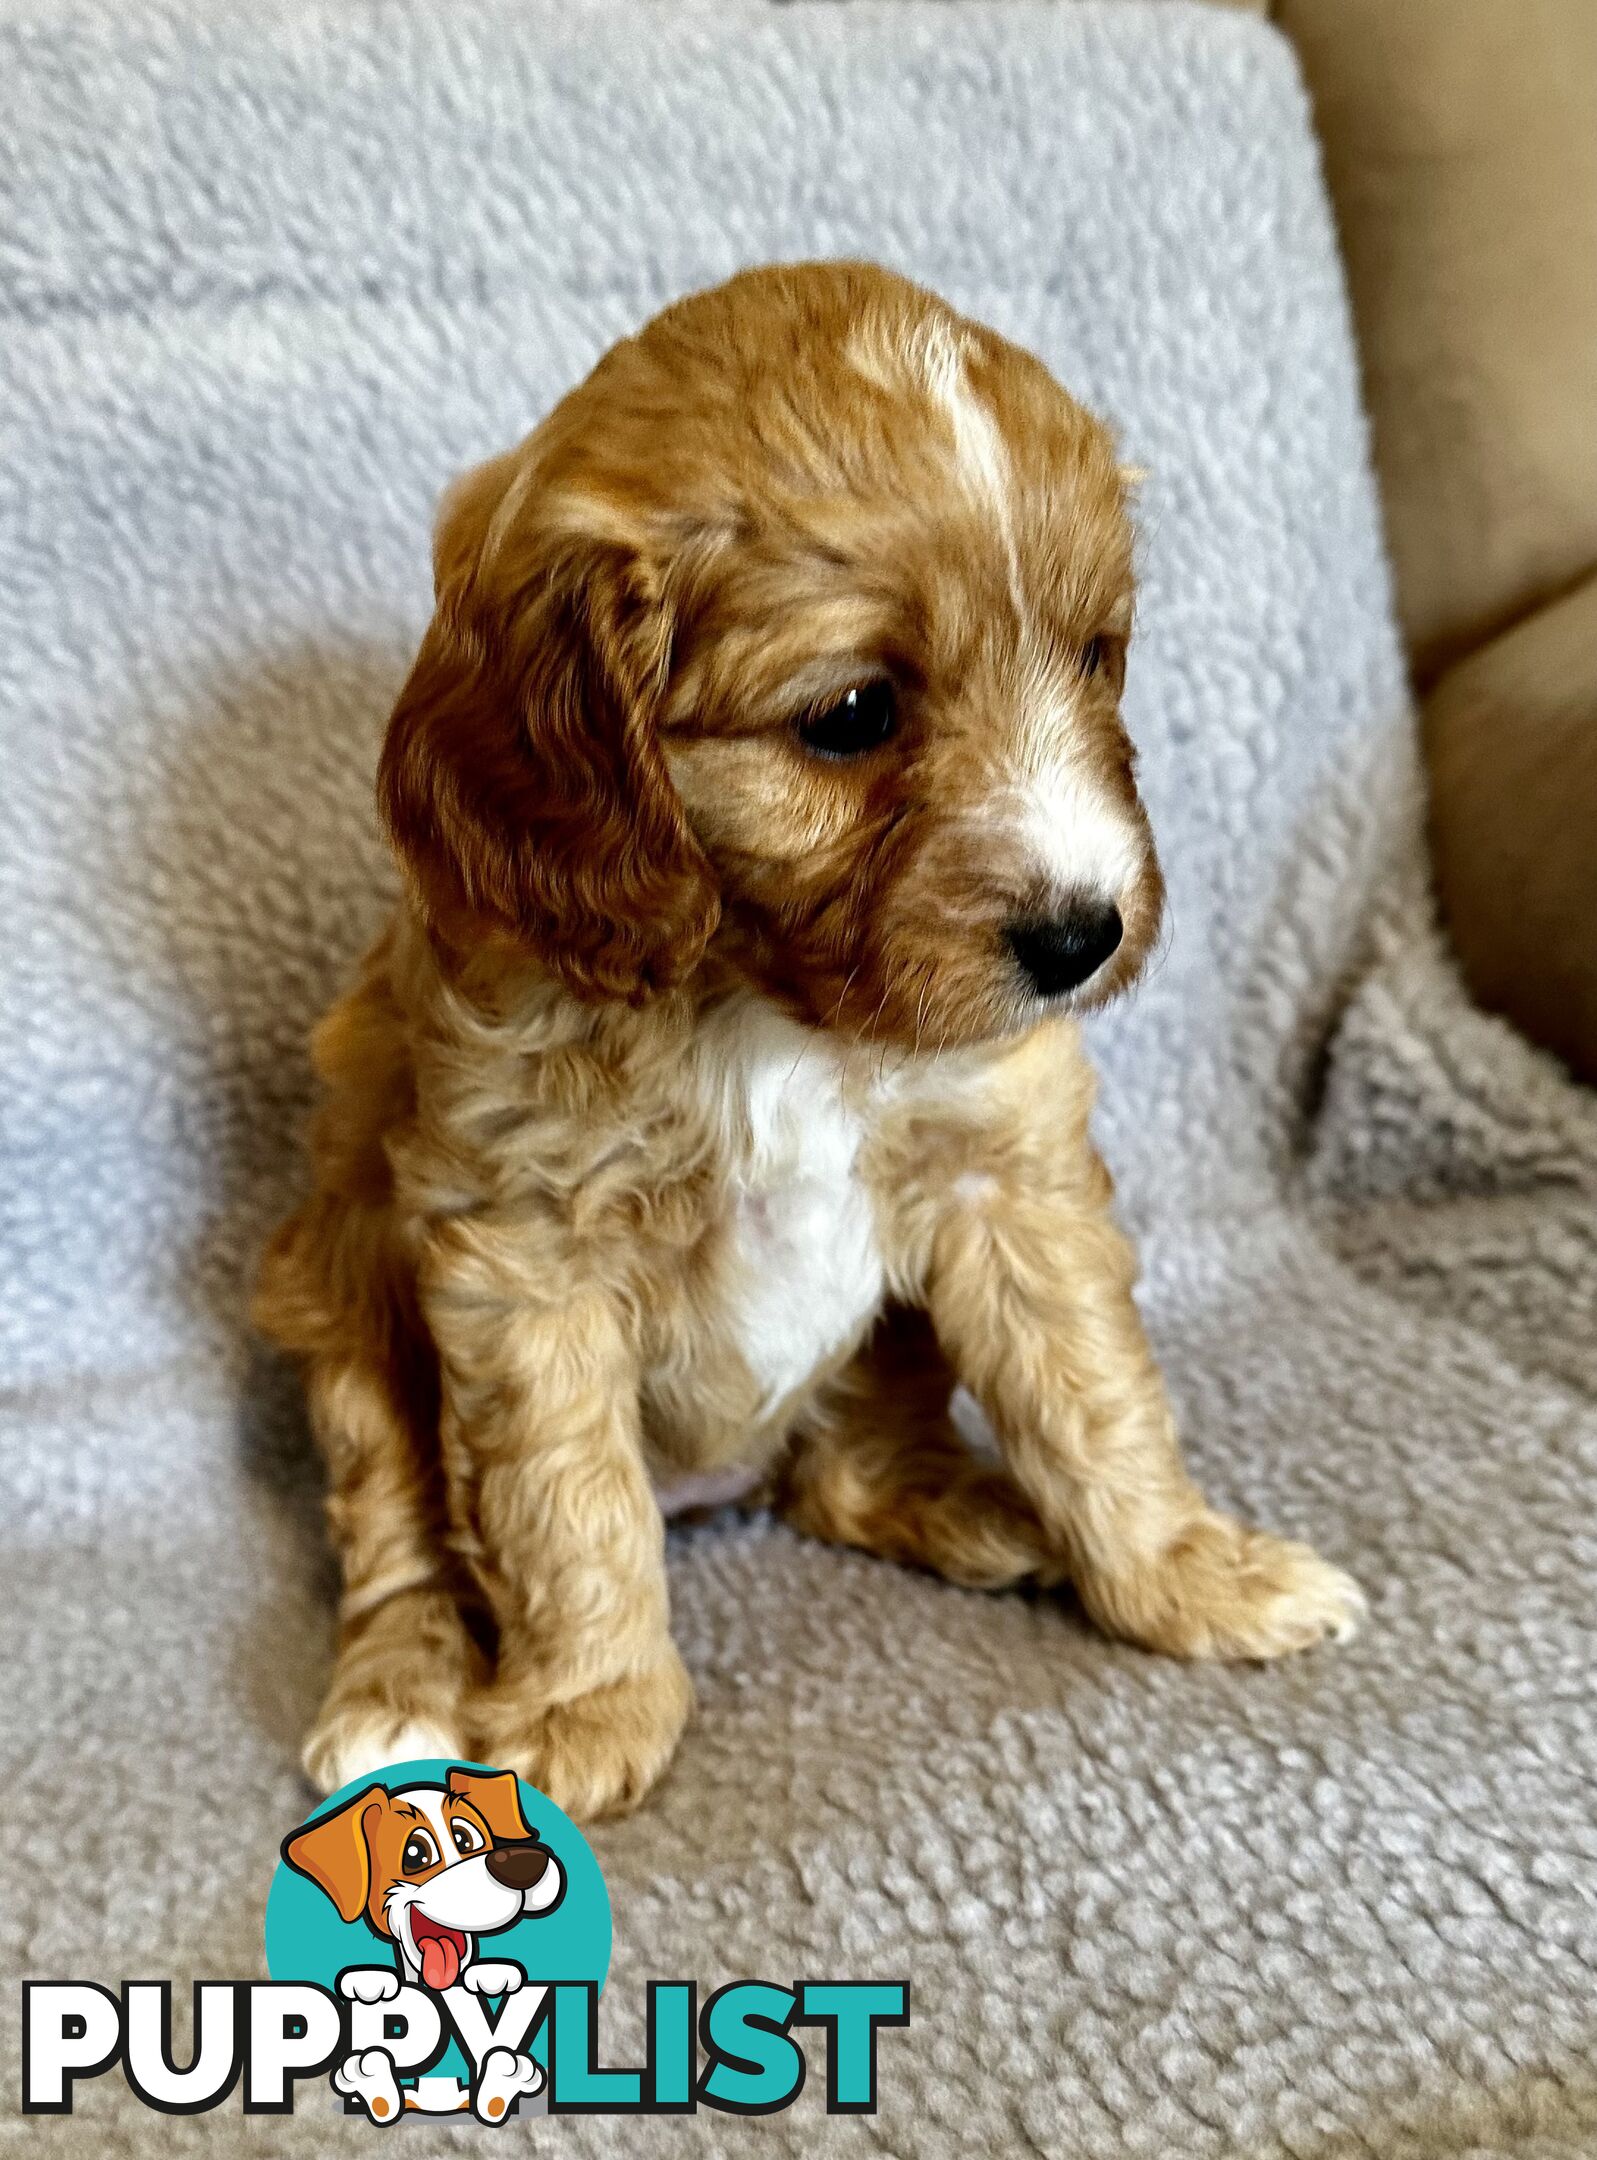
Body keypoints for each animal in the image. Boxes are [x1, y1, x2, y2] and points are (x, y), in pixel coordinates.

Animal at [252, 257, 1365, 1823]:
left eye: (1096, 658)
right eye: (851, 714)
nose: (1083, 935)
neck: (769, 1003)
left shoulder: (1009, 1172)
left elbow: (1093, 1390)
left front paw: (1184, 1576)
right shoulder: (521, 1255)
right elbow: (561, 1503)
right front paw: (589, 1706)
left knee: (845, 1473)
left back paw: (977, 1509)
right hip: (343, 1304)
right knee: (400, 1524)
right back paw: (399, 1695)